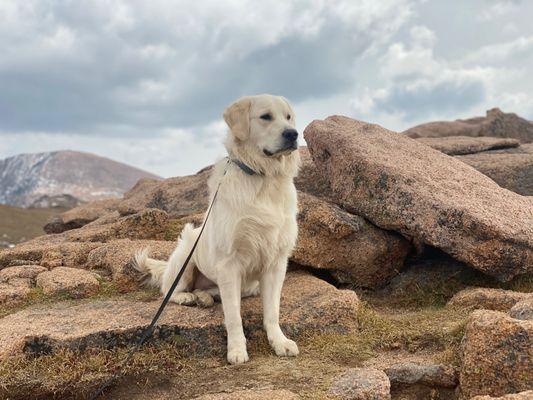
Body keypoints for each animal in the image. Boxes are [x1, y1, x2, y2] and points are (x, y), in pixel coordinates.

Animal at [135, 94, 302, 366]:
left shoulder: (276, 262)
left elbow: (272, 312)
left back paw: (204, 297)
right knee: (169, 290)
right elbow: (233, 315)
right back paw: (188, 297)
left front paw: (279, 342)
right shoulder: (229, 262)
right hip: (186, 254)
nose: (293, 134)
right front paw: (236, 349)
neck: (264, 178)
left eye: (288, 117)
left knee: (212, 291)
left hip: (244, 283)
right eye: (265, 116)